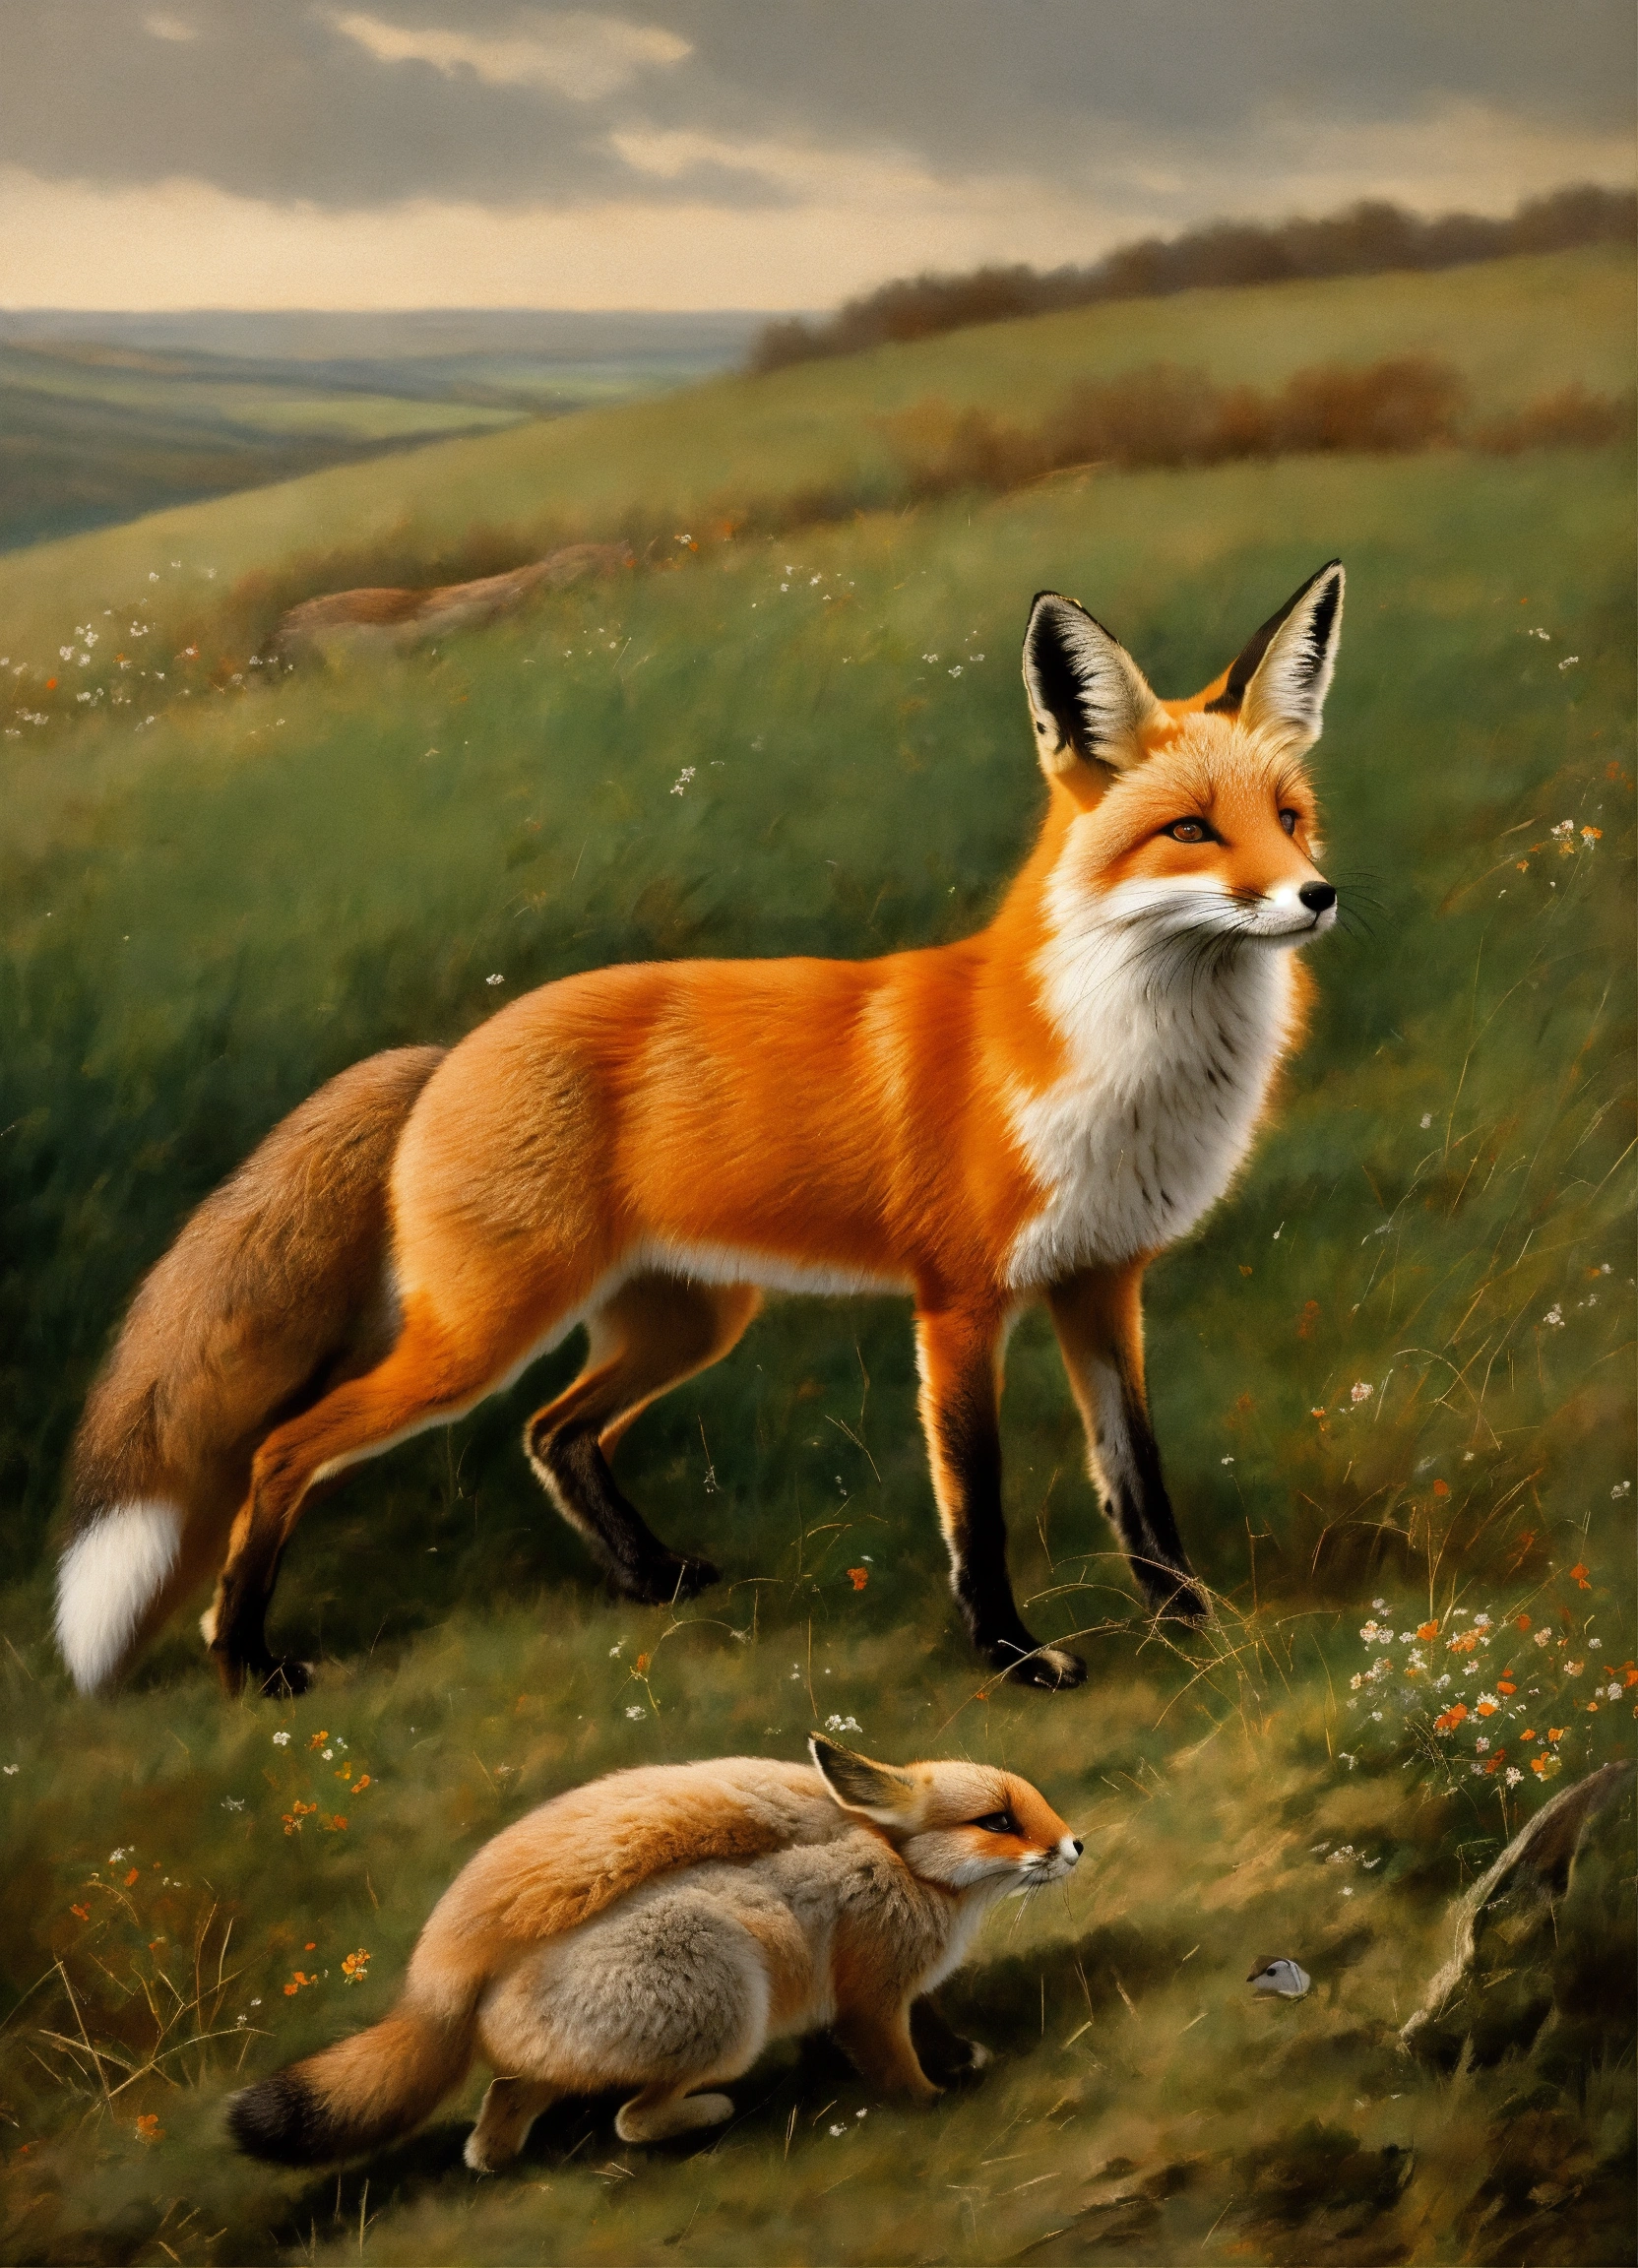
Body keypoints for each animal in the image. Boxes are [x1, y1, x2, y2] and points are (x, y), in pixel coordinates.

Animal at [55, 558, 1344, 1702]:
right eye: (1190, 832)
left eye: (1289, 820)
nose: (1317, 896)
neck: (1122, 1062)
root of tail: (447, 1050)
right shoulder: (960, 1303)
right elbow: (973, 1502)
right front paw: (1014, 1660)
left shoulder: (1100, 1281)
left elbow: (1137, 1482)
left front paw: (1193, 1627)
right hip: (477, 1337)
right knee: (282, 1450)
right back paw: (245, 1660)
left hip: (686, 1319)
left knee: (552, 1434)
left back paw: (647, 1577)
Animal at [228, 1734, 1080, 2164]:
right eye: (998, 1822)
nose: (1076, 1847)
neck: (909, 1870)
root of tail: (470, 1999)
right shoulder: (870, 2002)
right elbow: (896, 2066)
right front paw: (937, 2104)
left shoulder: (910, 1992)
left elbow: (933, 2027)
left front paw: (967, 2060)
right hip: (725, 2017)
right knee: (631, 2123)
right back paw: (713, 2113)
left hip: (559, 2068)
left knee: (495, 2123)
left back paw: (499, 2156)